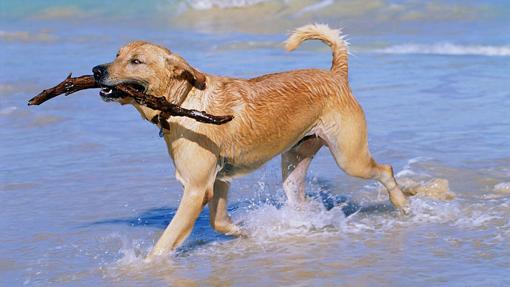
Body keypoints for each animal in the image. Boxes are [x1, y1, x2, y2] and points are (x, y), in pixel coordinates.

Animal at [90, 23, 410, 260]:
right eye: (116, 54)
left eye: (136, 61)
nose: (95, 70)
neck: (184, 101)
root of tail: (336, 75)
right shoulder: (218, 181)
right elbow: (220, 222)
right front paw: (248, 233)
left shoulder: (196, 189)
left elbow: (165, 242)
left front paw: (143, 267)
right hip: (294, 166)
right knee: (301, 200)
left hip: (349, 157)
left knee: (386, 170)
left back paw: (403, 204)